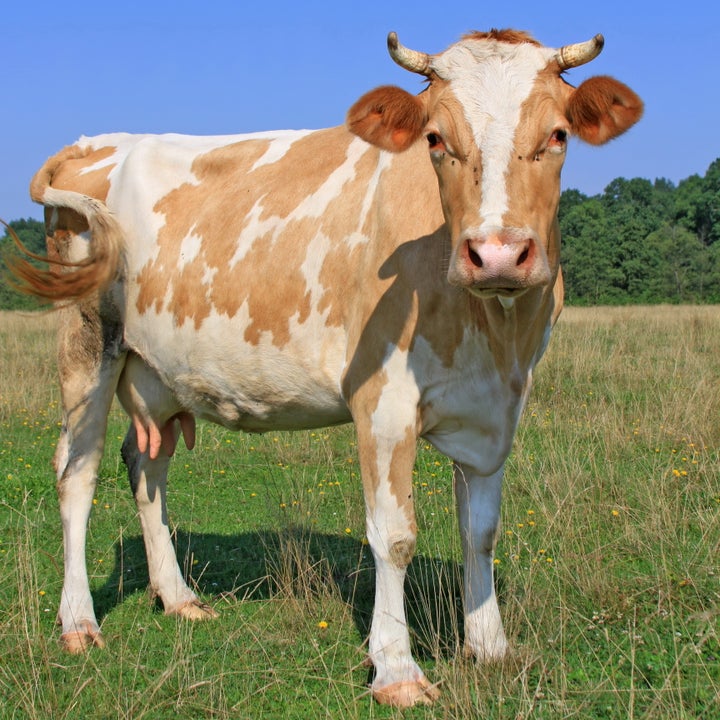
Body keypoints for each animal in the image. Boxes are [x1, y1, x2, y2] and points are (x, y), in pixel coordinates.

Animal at [11, 29, 640, 708]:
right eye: (435, 139)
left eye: (559, 135)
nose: (497, 253)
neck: (495, 334)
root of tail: (95, 141)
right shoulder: (383, 400)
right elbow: (394, 536)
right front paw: (397, 670)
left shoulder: (497, 408)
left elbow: (482, 532)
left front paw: (489, 647)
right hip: (87, 342)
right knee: (77, 471)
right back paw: (78, 622)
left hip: (155, 370)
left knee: (146, 466)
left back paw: (178, 597)